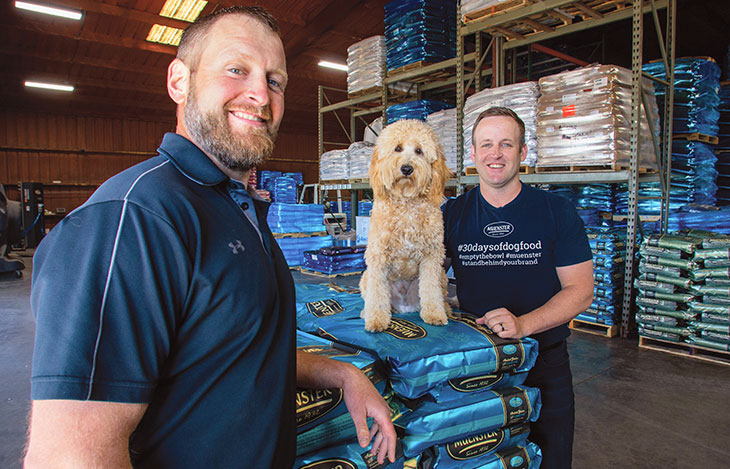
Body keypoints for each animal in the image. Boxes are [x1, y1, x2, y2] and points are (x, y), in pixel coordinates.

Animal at [358, 119, 450, 330]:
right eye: (397, 148)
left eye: (419, 151)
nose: (407, 169)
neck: (407, 203)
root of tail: (405, 306)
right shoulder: (378, 257)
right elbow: (377, 295)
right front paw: (376, 319)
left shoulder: (432, 257)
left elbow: (431, 292)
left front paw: (435, 314)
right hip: (365, 277)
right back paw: (367, 313)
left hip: (442, 275)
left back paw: (446, 309)